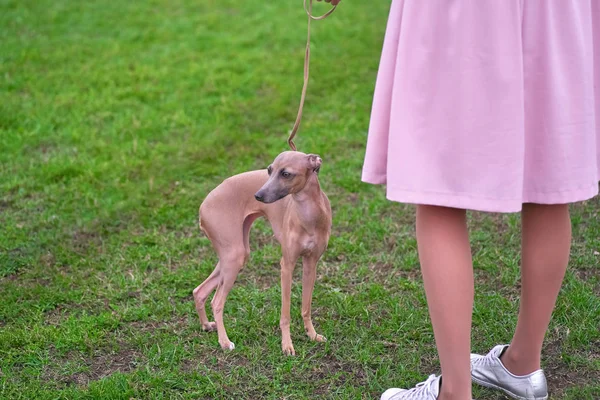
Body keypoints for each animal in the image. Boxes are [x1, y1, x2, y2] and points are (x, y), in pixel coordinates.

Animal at [193, 151, 330, 356]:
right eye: (269, 170)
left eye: (286, 173)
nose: (257, 195)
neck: (309, 216)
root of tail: (204, 205)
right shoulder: (287, 266)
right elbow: (285, 313)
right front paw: (287, 345)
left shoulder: (311, 264)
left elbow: (306, 307)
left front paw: (312, 335)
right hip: (234, 256)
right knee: (216, 302)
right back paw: (224, 342)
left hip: (234, 255)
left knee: (199, 291)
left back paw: (206, 326)